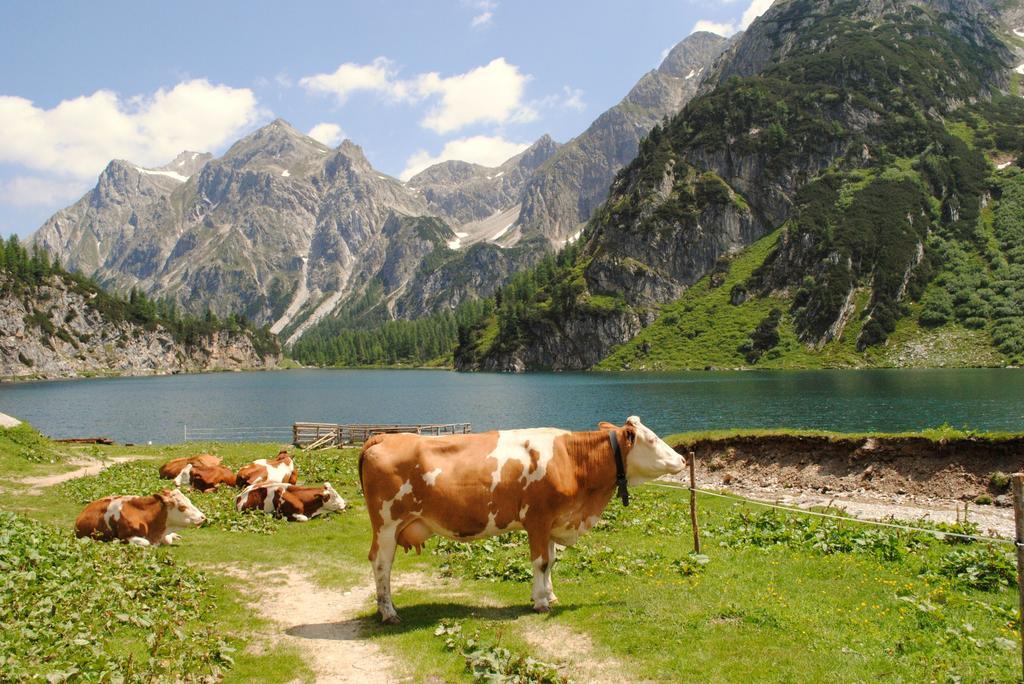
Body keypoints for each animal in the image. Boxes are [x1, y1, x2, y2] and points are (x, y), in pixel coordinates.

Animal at [74, 489, 207, 548]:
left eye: (189, 501)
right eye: (182, 507)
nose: (203, 517)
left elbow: (167, 539)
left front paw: (173, 536)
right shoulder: (125, 536)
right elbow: (145, 542)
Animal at [360, 413, 688, 622]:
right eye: (652, 439)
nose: (683, 459)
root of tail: (381, 438)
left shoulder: (553, 521)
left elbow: (552, 560)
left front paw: (550, 596)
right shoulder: (538, 519)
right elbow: (541, 562)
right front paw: (541, 602)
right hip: (387, 524)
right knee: (382, 563)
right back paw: (388, 612)